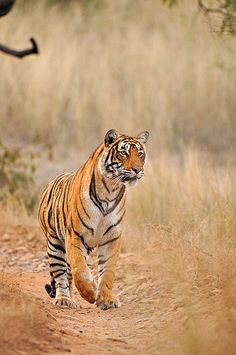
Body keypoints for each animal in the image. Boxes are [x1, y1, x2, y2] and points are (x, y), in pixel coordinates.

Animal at [38, 129, 149, 310]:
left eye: (140, 154)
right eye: (123, 153)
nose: (137, 169)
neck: (110, 190)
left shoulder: (112, 238)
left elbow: (108, 271)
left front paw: (106, 299)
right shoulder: (75, 236)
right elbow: (80, 270)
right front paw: (90, 293)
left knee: (68, 275)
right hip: (55, 244)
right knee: (61, 276)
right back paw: (64, 300)